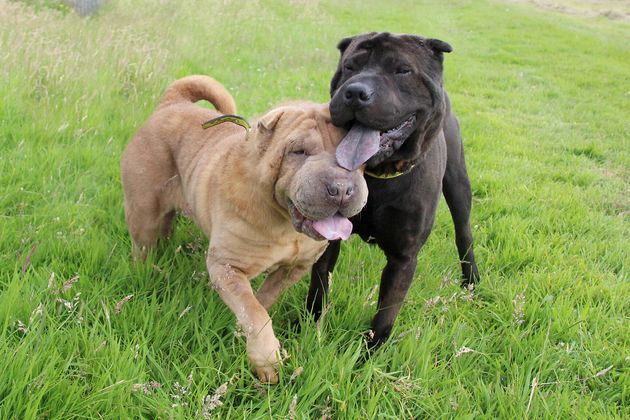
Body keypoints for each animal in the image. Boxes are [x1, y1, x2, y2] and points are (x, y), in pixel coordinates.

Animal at [121, 74, 368, 380]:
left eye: (359, 157)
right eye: (298, 151)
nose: (341, 189)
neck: (285, 223)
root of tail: (170, 104)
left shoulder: (294, 269)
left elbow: (262, 301)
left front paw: (243, 332)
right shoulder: (227, 266)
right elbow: (253, 310)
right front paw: (267, 360)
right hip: (144, 211)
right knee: (143, 245)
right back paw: (147, 272)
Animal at [308, 32, 482, 348]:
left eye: (402, 70)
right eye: (350, 67)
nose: (355, 93)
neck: (378, 176)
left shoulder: (404, 256)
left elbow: (385, 315)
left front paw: (370, 353)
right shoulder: (328, 238)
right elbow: (318, 288)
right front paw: (307, 331)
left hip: (458, 184)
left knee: (464, 234)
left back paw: (471, 280)